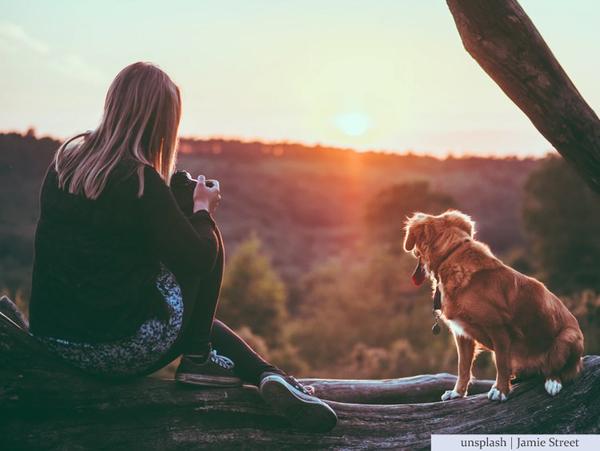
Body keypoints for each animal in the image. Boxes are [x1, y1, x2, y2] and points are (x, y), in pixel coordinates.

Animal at [404, 210, 580, 400]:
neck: (451, 255)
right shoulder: (462, 334)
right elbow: (463, 367)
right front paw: (458, 392)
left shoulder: (498, 328)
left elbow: (501, 364)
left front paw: (500, 390)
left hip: (566, 338)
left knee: (560, 368)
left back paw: (553, 382)